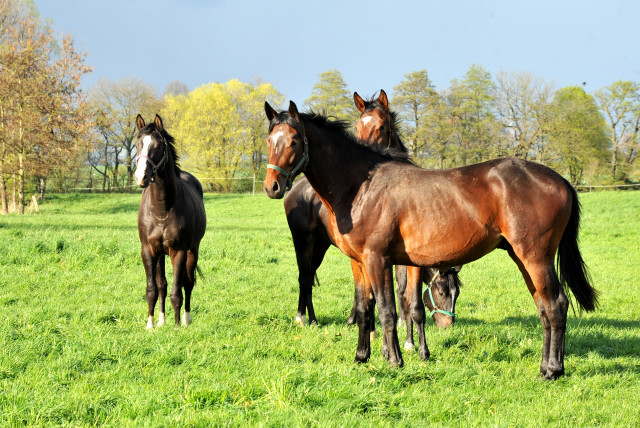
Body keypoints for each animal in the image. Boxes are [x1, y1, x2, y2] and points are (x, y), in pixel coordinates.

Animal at [134, 113, 205, 328]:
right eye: (138, 144)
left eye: (158, 145)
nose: (141, 177)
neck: (161, 210)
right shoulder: (149, 250)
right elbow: (153, 288)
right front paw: (151, 324)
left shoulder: (179, 251)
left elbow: (177, 291)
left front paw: (176, 326)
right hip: (161, 254)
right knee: (162, 285)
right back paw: (161, 320)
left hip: (193, 250)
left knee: (188, 283)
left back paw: (186, 319)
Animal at [262, 101, 596, 382]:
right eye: (269, 140)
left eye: (294, 140)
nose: (272, 186)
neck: (361, 186)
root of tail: (561, 180)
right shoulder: (360, 262)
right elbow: (365, 307)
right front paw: (361, 356)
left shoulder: (378, 259)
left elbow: (388, 310)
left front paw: (395, 360)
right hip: (522, 258)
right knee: (544, 308)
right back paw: (546, 367)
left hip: (535, 258)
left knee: (555, 304)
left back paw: (552, 370)